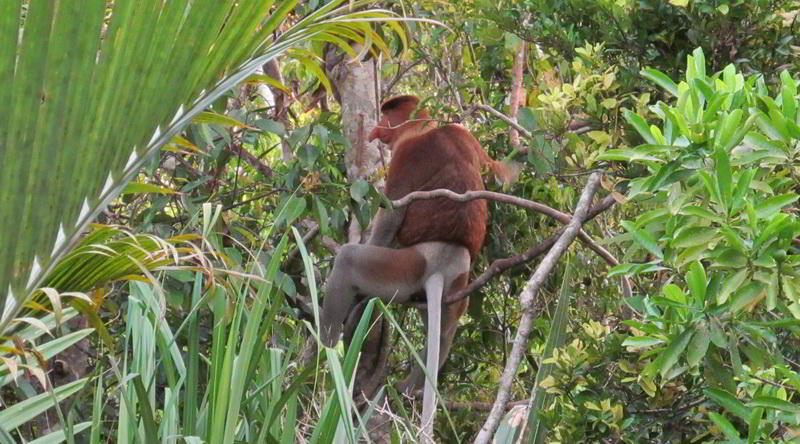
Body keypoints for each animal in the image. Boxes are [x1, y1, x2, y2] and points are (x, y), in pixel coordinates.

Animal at [320, 95, 512, 438]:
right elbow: (498, 169)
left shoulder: (407, 154)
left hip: (406, 267)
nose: (376, 129)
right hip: (456, 286)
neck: (429, 127)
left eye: (388, 114)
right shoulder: (464, 135)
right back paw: (409, 386)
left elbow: (392, 212)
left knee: (350, 261)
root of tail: (445, 260)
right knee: (446, 329)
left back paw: (328, 351)